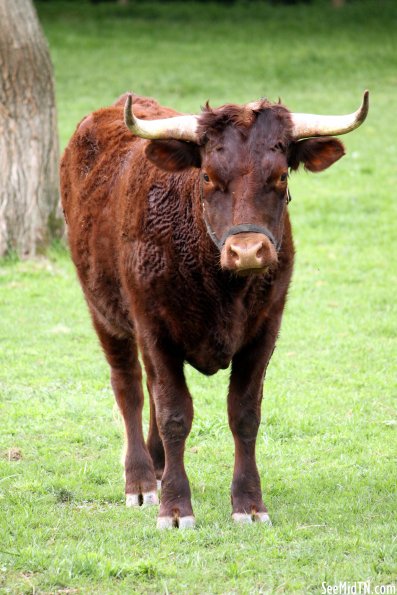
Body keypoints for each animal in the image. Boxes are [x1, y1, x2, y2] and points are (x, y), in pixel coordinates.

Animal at [60, 91, 366, 528]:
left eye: (282, 177)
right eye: (206, 177)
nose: (248, 251)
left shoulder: (265, 330)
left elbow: (244, 414)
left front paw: (249, 504)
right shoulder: (154, 328)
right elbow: (174, 414)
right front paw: (175, 508)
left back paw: (157, 466)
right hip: (104, 312)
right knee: (130, 388)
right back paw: (141, 481)